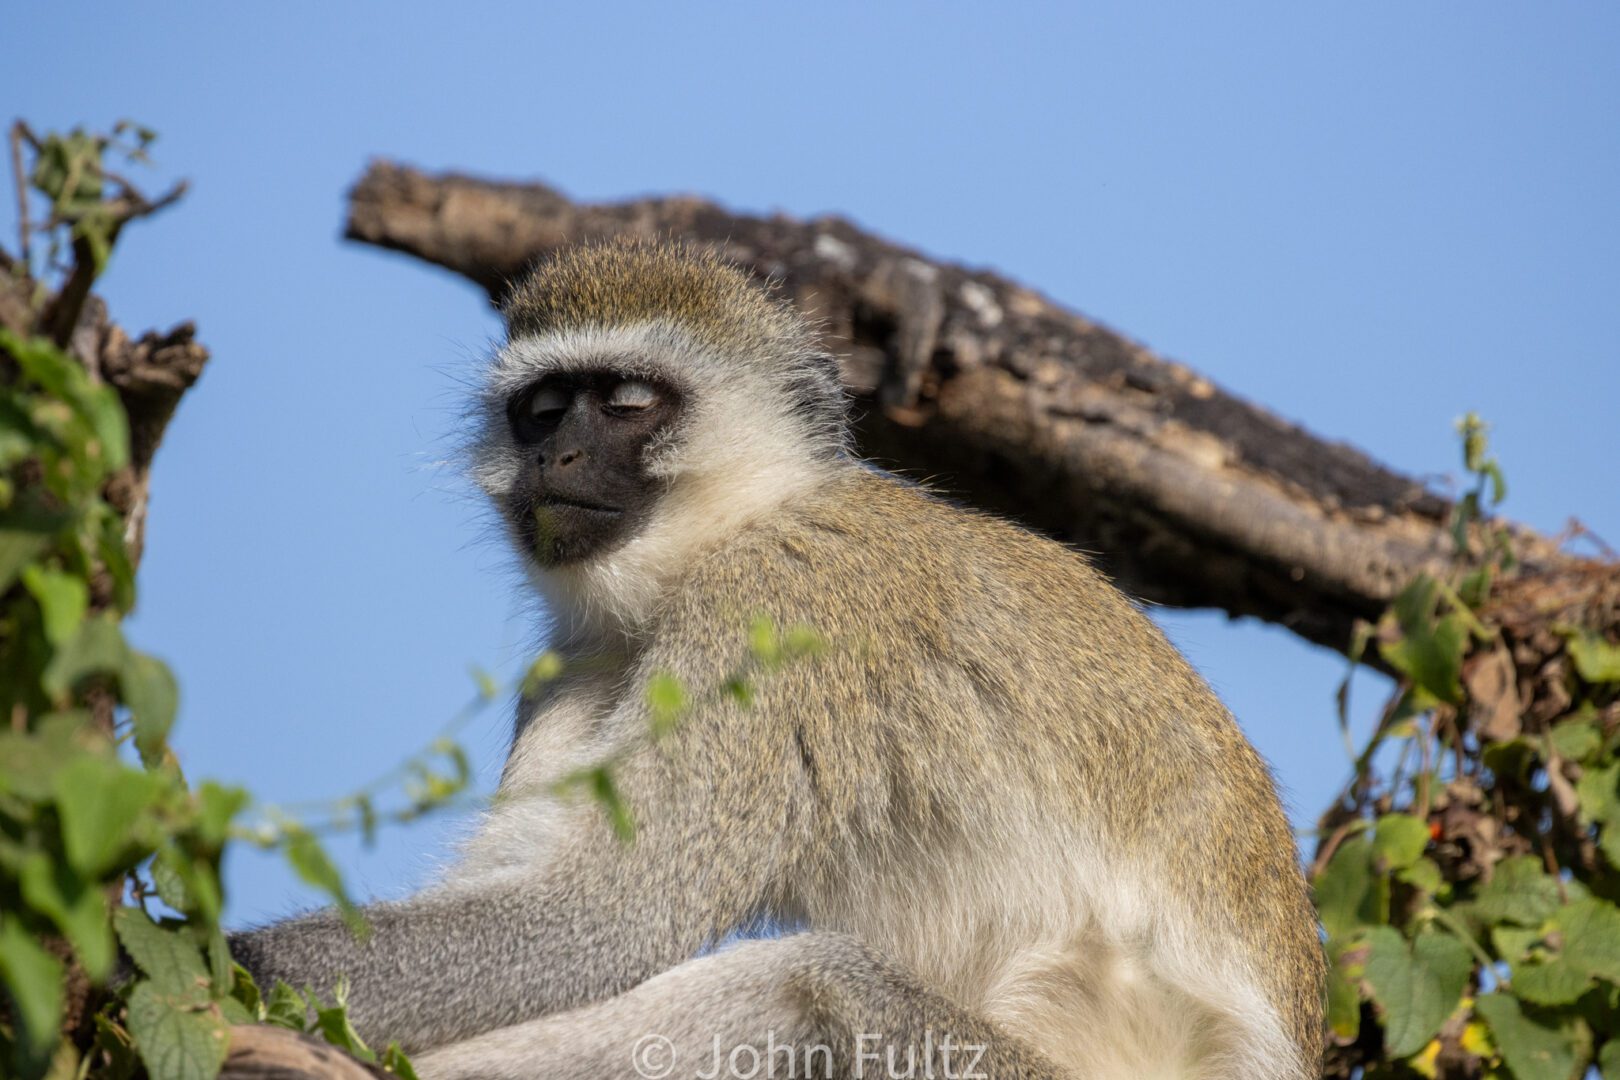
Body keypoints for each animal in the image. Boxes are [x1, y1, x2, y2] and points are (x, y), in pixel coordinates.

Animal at [231, 241, 1328, 1075]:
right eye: (540, 412)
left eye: (626, 401)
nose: (554, 459)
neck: (739, 524)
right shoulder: (581, 664)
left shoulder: (779, 601)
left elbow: (608, 917)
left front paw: (217, 960)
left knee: (804, 988)